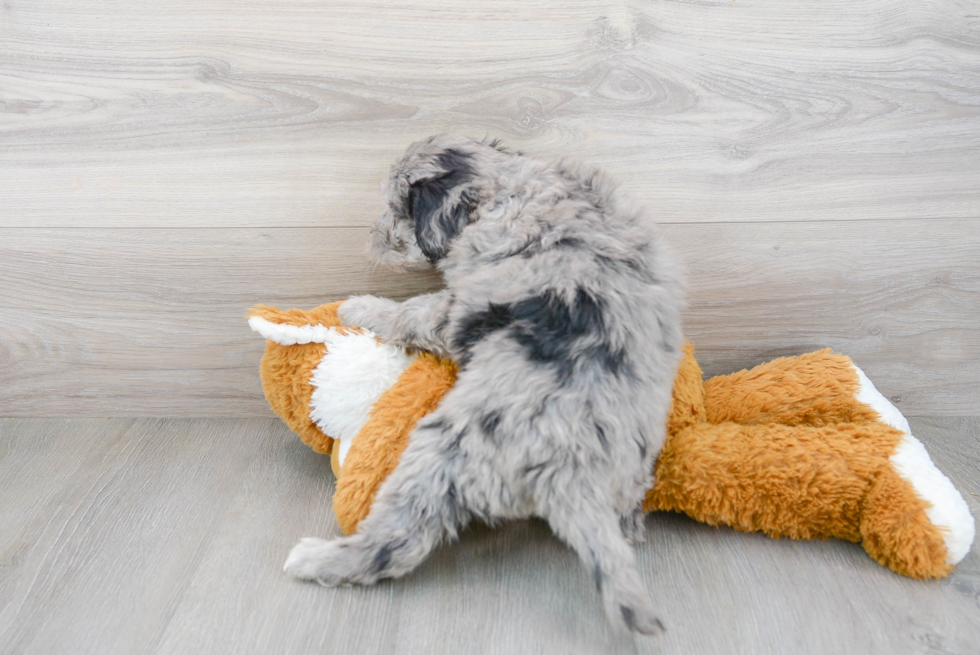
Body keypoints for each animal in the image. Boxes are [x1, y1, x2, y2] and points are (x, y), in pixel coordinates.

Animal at [282, 135, 680, 636]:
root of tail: (572, 471)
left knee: (398, 543)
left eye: (394, 210)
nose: (370, 242)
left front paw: (361, 308)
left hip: (439, 453)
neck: (509, 185)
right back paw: (629, 528)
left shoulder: (456, 306)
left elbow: (411, 312)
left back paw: (317, 559)